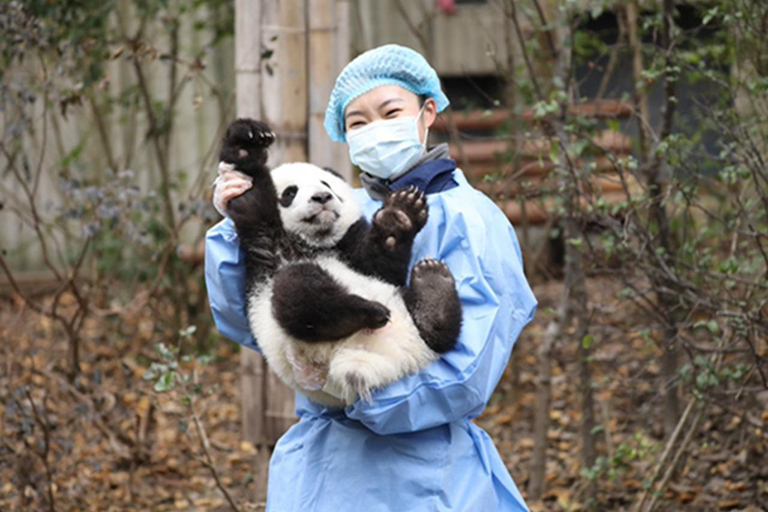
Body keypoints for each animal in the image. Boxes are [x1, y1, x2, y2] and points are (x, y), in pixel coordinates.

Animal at [221, 118, 462, 408]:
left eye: (327, 184)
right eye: (290, 192)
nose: (322, 197)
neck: (312, 243)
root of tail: (361, 360)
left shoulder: (351, 247)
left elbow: (381, 265)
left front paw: (400, 216)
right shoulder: (265, 240)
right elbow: (250, 191)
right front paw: (248, 139)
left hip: (400, 308)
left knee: (437, 335)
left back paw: (433, 287)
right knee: (299, 294)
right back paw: (370, 310)